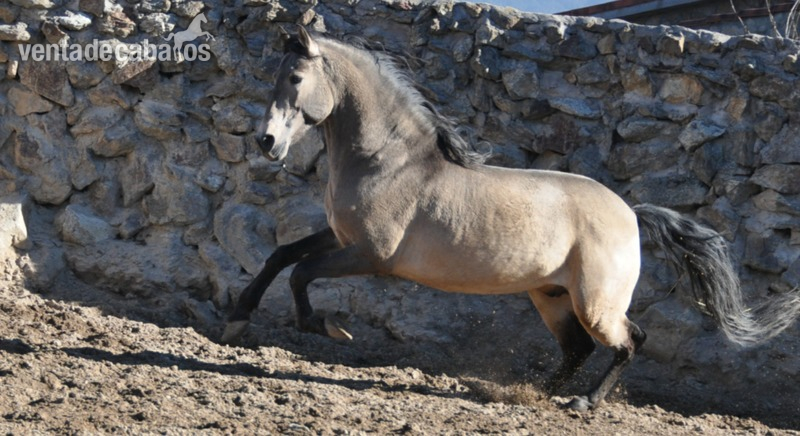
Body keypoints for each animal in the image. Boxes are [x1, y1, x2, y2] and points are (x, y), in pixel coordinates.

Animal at [222, 27, 800, 410]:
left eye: (296, 78)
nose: (266, 142)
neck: (388, 160)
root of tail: (630, 213)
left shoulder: (370, 254)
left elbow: (301, 274)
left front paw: (327, 327)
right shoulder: (340, 238)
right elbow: (281, 256)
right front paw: (238, 317)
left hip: (595, 302)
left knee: (629, 340)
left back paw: (583, 404)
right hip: (550, 295)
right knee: (577, 349)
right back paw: (526, 394)